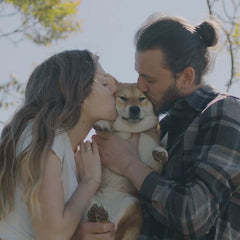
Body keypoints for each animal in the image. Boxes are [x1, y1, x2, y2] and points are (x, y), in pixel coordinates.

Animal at [86, 81, 167, 239]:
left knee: (112, 230)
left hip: (131, 204)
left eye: (142, 98)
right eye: (123, 98)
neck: (130, 131)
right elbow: (107, 126)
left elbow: (157, 160)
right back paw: (95, 216)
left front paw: (161, 152)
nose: (134, 109)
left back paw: (99, 216)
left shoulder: (150, 166)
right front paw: (104, 123)